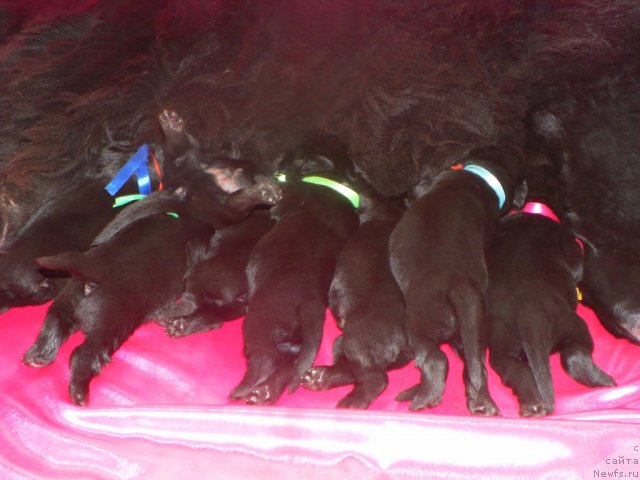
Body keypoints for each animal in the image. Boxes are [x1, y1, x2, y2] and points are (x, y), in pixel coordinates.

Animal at [230, 134, 360, 404]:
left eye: (294, 152)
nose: (279, 158)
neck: (331, 179)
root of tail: (309, 306)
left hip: (260, 324)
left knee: (265, 359)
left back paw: (245, 388)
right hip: (294, 341)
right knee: (290, 367)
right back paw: (266, 391)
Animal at [300, 188, 410, 408]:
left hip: (356, 339)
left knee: (376, 380)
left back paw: (351, 403)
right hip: (342, 344)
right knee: (356, 370)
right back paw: (320, 377)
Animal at [388, 144, 528, 414]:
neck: (482, 178)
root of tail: (457, 287)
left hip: (420, 324)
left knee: (435, 360)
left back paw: (423, 399)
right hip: (474, 328)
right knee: (476, 367)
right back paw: (481, 403)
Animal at [488, 166, 616, 416]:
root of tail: (530, 319)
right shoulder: (569, 245)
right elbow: (577, 266)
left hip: (502, 346)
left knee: (515, 371)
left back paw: (531, 404)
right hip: (574, 327)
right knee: (573, 356)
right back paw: (606, 381)